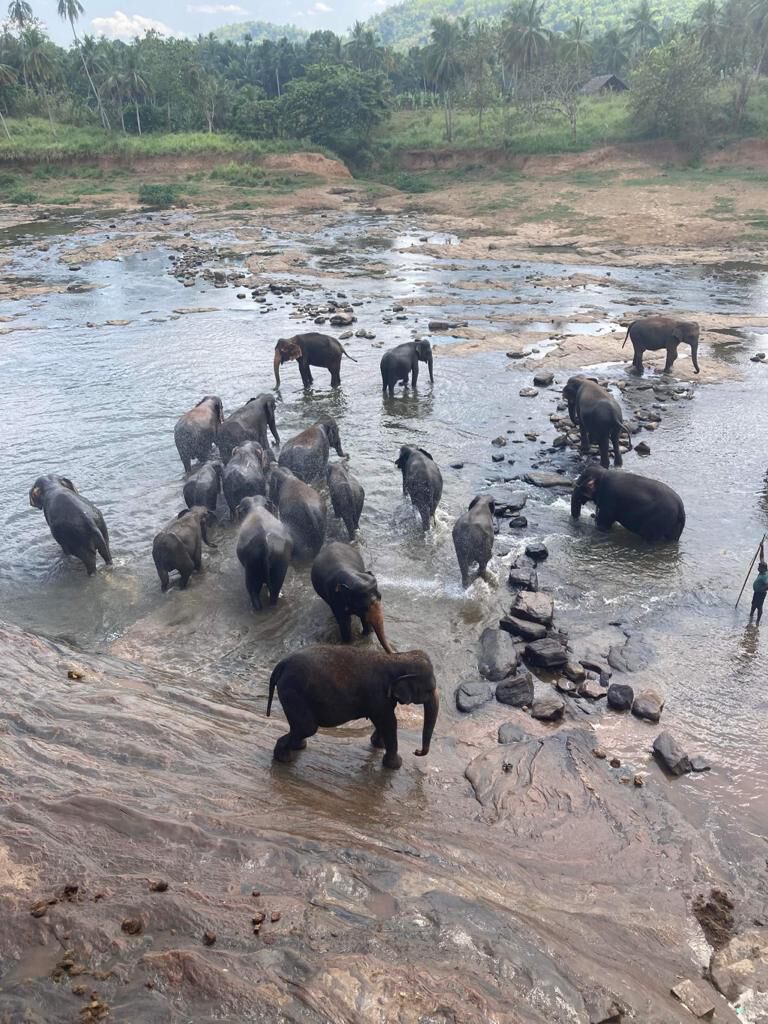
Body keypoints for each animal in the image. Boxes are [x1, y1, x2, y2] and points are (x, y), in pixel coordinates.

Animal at [267, 645, 439, 770]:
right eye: (429, 689)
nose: (416, 751)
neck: (397, 658)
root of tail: (281, 664)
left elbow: (385, 721)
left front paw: (379, 745)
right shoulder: (377, 695)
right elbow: (389, 722)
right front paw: (396, 765)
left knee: (300, 727)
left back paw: (297, 747)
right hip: (293, 691)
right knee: (307, 727)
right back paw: (284, 758)